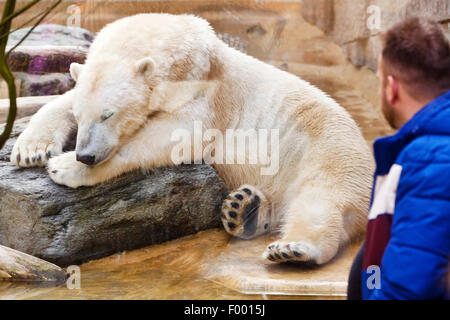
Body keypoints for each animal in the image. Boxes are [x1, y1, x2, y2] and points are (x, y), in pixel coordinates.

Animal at [12, 13, 374, 264]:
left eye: (108, 114)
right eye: (82, 115)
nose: (85, 155)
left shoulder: (206, 93)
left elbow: (176, 136)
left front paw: (64, 168)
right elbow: (60, 99)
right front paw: (30, 149)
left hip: (329, 150)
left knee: (320, 201)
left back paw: (293, 248)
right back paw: (244, 208)